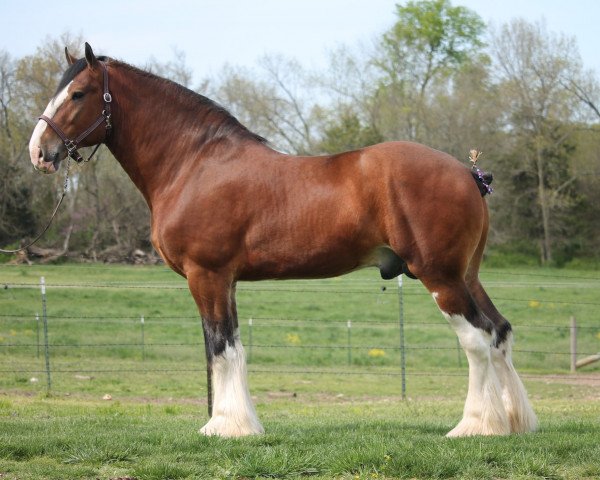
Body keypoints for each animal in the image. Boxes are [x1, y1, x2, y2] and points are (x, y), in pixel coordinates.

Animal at [27, 44, 540, 438]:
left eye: (77, 93)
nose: (38, 151)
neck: (193, 163)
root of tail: (468, 173)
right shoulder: (226, 280)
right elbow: (230, 347)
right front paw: (238, 424)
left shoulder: (206, 275)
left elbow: (220, 349)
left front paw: (225, 428)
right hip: (466, 275)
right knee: (499, 332)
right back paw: (515, 422)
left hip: (439, 277)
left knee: (477, 339)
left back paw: (475, 426)